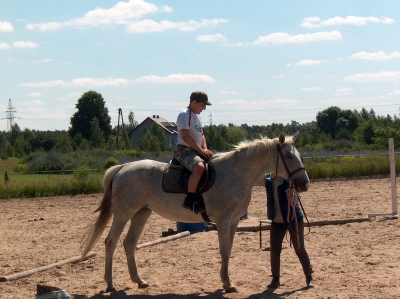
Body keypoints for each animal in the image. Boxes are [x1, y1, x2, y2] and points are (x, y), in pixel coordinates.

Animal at [79, 133, 308, 292]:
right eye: (288, 155)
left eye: (299, 155)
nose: (304, 183)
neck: (236, 173)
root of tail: (122, 167)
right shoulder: (224, 221)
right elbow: (224, 251)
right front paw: (227, 284)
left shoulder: (234, 222)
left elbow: (228, 250)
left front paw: (226, 281)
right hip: (123, 214)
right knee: (111, 243)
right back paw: (110, 284)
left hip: (141, 214)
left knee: (129, 244)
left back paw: (139, 281)